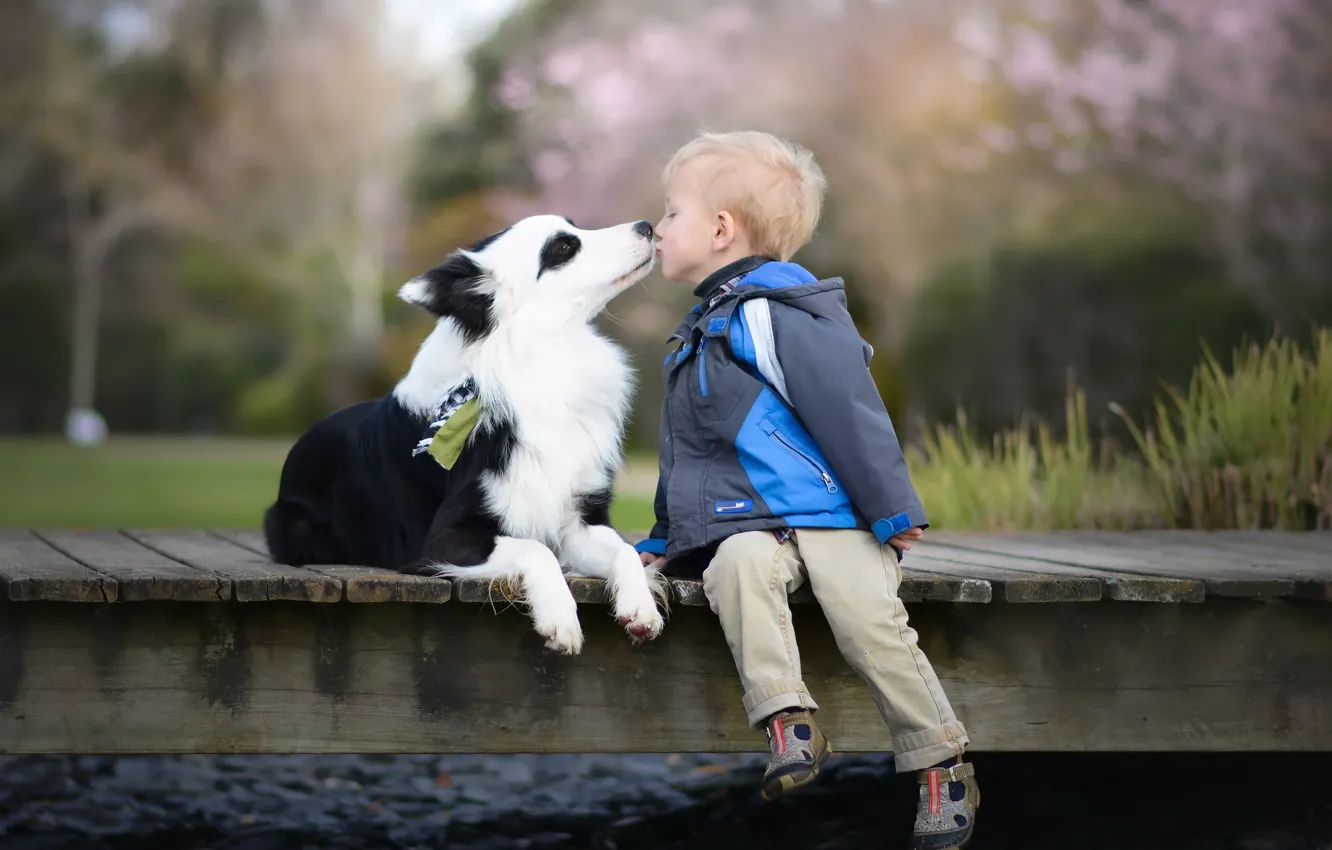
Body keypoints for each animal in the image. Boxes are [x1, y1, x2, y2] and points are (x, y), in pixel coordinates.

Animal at [265, 215, 666, 655]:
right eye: (562, 247)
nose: (647, 226)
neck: (539, 359)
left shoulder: (579, 520)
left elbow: (626, 549)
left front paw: (639, 607)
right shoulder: (444, 540)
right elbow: (537, 548)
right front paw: (559, 619)